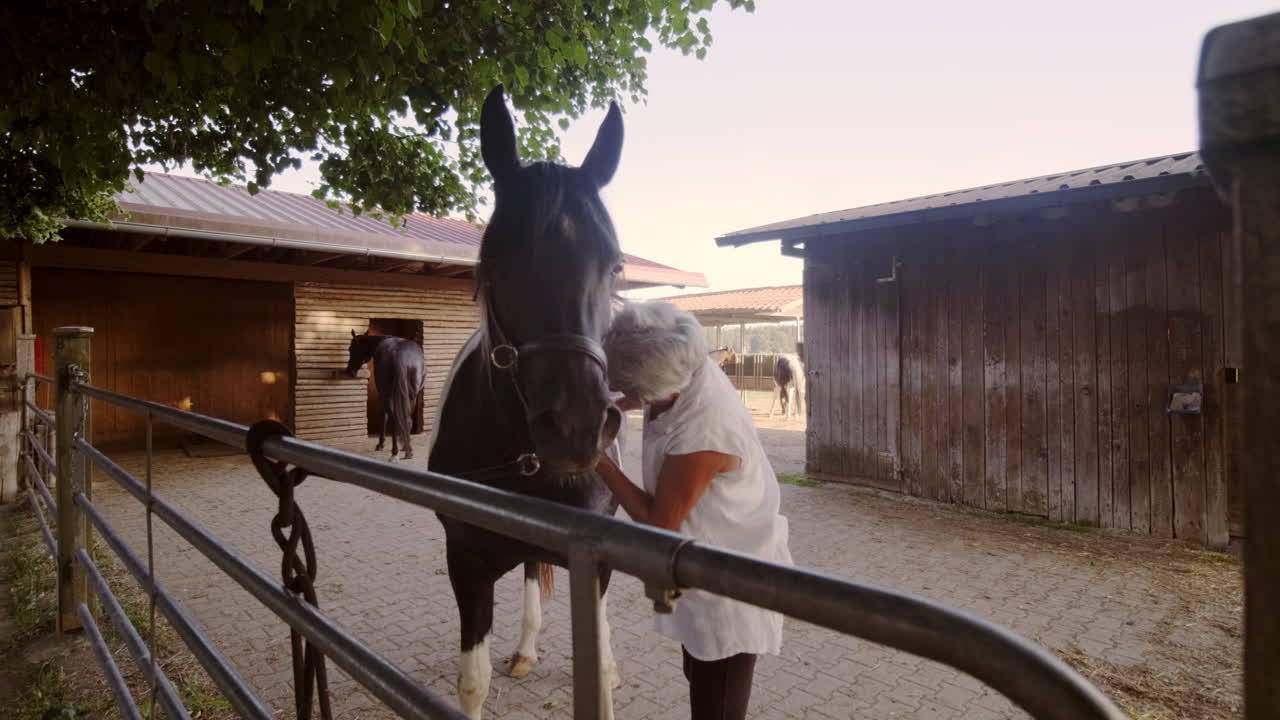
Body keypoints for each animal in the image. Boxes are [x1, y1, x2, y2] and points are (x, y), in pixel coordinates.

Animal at [344, 330, 426, 462]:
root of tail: (400, 355)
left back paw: (394, 452)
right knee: (407, 418)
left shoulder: (382, 394)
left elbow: (383, 416)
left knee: (393, 418)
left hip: (387, 394)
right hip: (412, 395)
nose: (350, 370)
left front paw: (380, 444)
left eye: (351, 349)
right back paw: (408, 450)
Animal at [426, 85, 625, 720]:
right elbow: (473, 680)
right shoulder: (466, 563)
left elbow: (597, 665)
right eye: (499, 260)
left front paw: (606, 672)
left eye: (615, 264)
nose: (576, 428)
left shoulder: (595, 562)